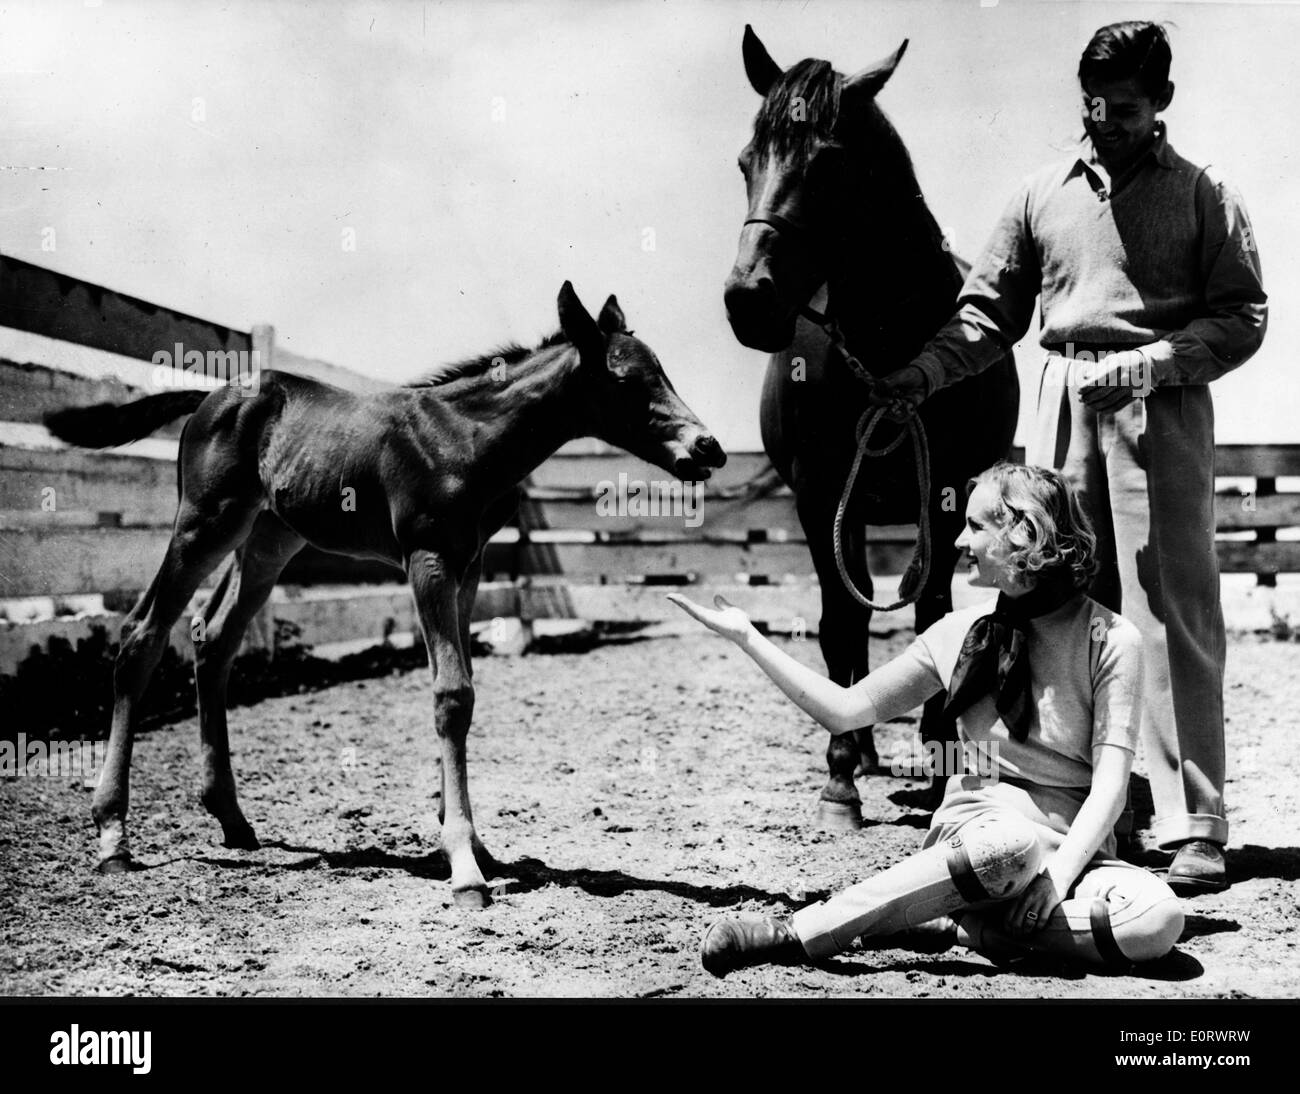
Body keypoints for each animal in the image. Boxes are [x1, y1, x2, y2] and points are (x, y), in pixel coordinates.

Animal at [45, 282, 726, 908]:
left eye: (662, 370)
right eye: (626, 379)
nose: (709, 447)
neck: (469, 437)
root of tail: (212, 395)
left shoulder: (469, 565)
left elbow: (460, 683)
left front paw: (473, 844)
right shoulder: (428, 557)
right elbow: (452, 694)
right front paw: (465, 867)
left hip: (269, 538)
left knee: (214, 639)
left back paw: (232, 819)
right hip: (204, 523)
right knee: (141, 634)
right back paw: (113, 837)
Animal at [723, 26, 1019, 829]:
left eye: (827, 165)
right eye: (746, 161)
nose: (748, 299)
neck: (887, 351)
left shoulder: (946, 495)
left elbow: (934, 616)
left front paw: (942, 757)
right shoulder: (820, 496)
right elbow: (838, 625)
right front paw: (838, 780)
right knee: (848, 628)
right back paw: (857, 748)